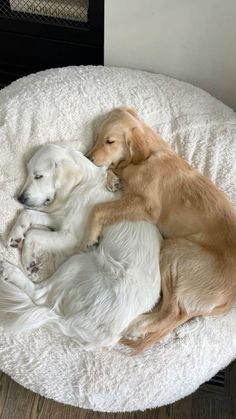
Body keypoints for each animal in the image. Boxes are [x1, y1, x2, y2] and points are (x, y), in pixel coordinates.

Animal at [0, 146, 161, 350]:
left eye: (38, 176)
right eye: (28, 173)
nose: (20, 198)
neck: (82, 186)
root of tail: (107, 337)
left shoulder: (70, 236)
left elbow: (33, 233)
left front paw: (28, 259)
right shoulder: (59, 217)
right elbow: (27, 214)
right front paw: (15, 235)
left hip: (79, 261)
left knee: (39, 294)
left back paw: (10, 271)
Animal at [82, 107, 236, 352]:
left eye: (109, 141)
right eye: (97, 136)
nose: (88, 157)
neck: (144, 159)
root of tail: (229, 299)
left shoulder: (146, 205)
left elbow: (99, 208)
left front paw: (91, 235)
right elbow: (113, 172)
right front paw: (112, 179)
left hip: (175, 249)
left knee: (173, 311)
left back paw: (138, 326)